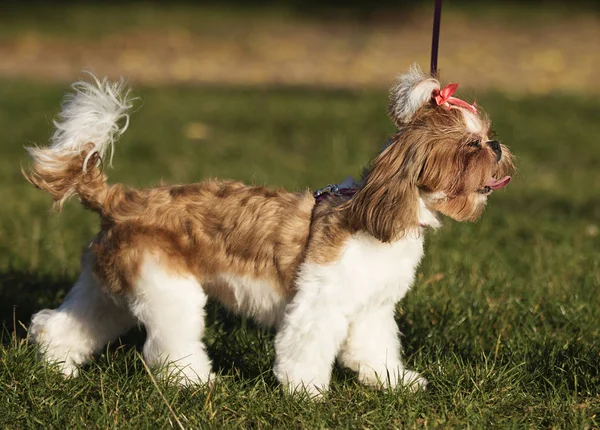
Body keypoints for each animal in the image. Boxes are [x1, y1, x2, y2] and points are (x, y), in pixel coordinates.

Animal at [22, 65, 510, 398]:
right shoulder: (319, 304)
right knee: (170, 346)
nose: (497, 144)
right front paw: (306, 391)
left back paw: (58, 367)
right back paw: (195, 381)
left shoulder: (370, 309)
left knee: (60, 325)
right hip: (168, 290)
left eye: (488, 133)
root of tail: (117, 199)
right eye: (471, 146)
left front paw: (393, 381)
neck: (379, 212)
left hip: (109, 290)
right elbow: (305, 348)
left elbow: (376, 349)